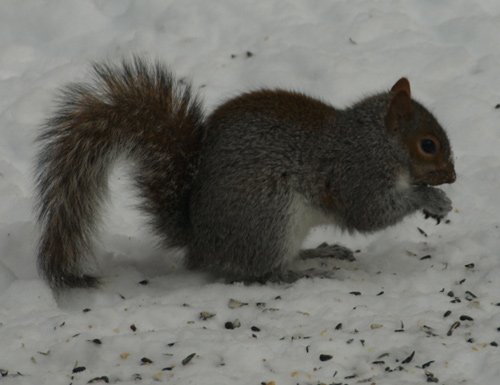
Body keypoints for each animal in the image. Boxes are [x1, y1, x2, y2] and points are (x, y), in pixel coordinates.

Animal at [34, 57, 458, 288]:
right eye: (428, 145)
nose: (452, 177)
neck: (376, 141)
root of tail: (200, 241)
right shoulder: (357, 174)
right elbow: (369, 213)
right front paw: (432, 198)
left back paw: (321, 251)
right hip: (270, 218)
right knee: (265, 273)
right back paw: (306, 274)